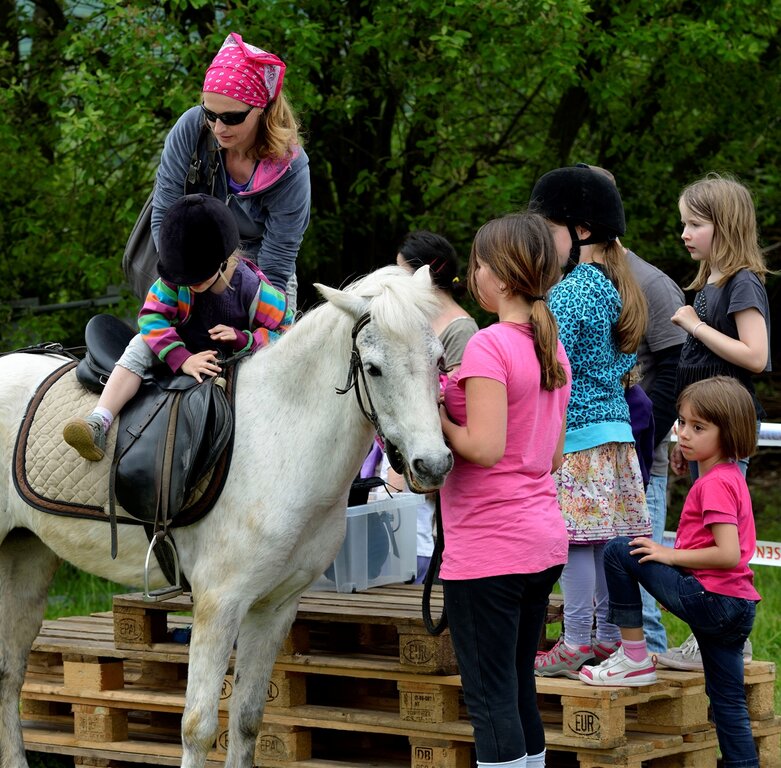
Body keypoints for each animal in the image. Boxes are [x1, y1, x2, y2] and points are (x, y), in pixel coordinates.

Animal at [0, 266, 450, 768]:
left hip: (26, 557)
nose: (433, 465)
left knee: (9, 672)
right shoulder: (219, 603)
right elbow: (198, 726)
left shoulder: (274, 607)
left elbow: (249, 718)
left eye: (438, 360)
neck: (281, 436)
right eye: (372, 368)